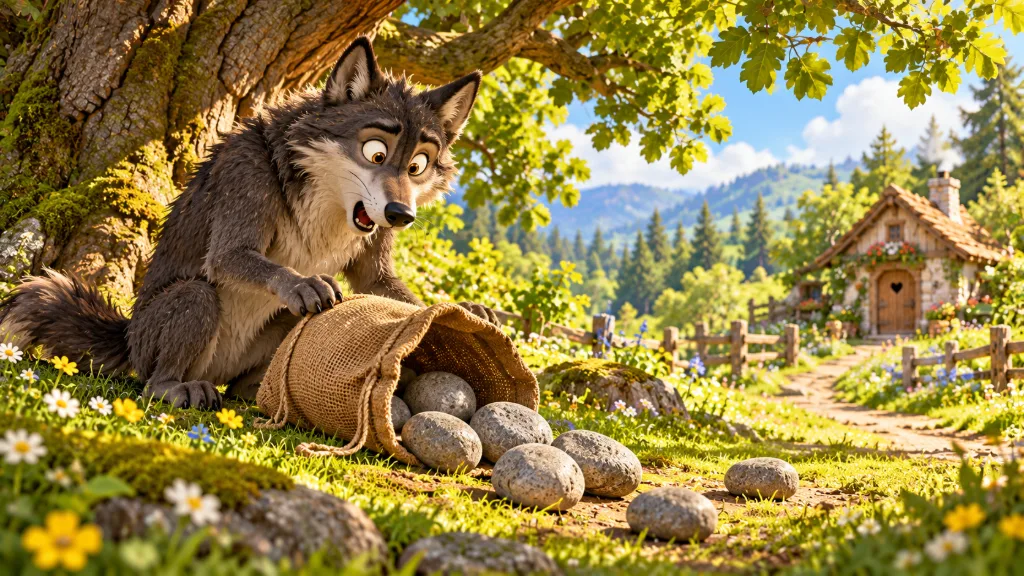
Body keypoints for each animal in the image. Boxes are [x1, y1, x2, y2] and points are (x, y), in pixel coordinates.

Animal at [0, 37, 498, 409]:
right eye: (376, 153)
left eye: (417, 165)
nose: (401, 215)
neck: (327, 208)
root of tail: (126, 338)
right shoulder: (245, 185)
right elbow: (242, 260)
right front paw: (302, 282)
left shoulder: (371, 271)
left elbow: (393, 291)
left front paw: (467, 310)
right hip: (191, 303)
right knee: (154, 377)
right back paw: (178, 388)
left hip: (279, 331)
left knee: (242, 383)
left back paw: (259, 392)